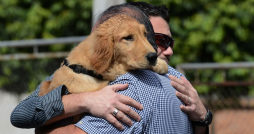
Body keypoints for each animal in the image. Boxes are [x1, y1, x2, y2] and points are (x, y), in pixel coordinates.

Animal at [38, 14, 168, 97]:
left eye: (145, 34)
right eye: (128, 37)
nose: (153, 56)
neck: (83, 69)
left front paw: (160, 63)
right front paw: (160, 64)